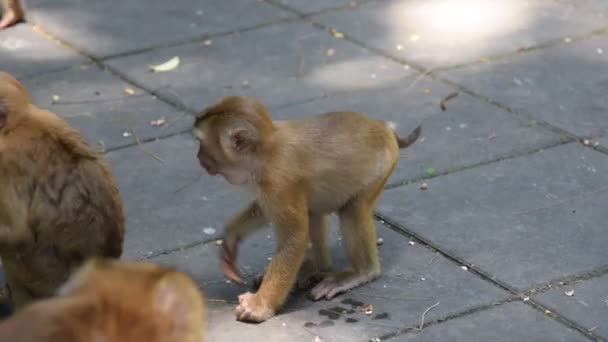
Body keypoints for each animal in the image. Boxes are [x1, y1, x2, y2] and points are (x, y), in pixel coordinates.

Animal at [192, 96, 420, 324]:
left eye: (202, 143)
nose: (199, 157)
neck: (266, 151)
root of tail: (382, 126)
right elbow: (265, 211)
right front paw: (231, 236)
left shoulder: (278, 182)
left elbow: (294, 239)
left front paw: (260, 306)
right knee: (313, 211)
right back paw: (314, 268)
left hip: (381, 167)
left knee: (352, 209)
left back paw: (360, 272)